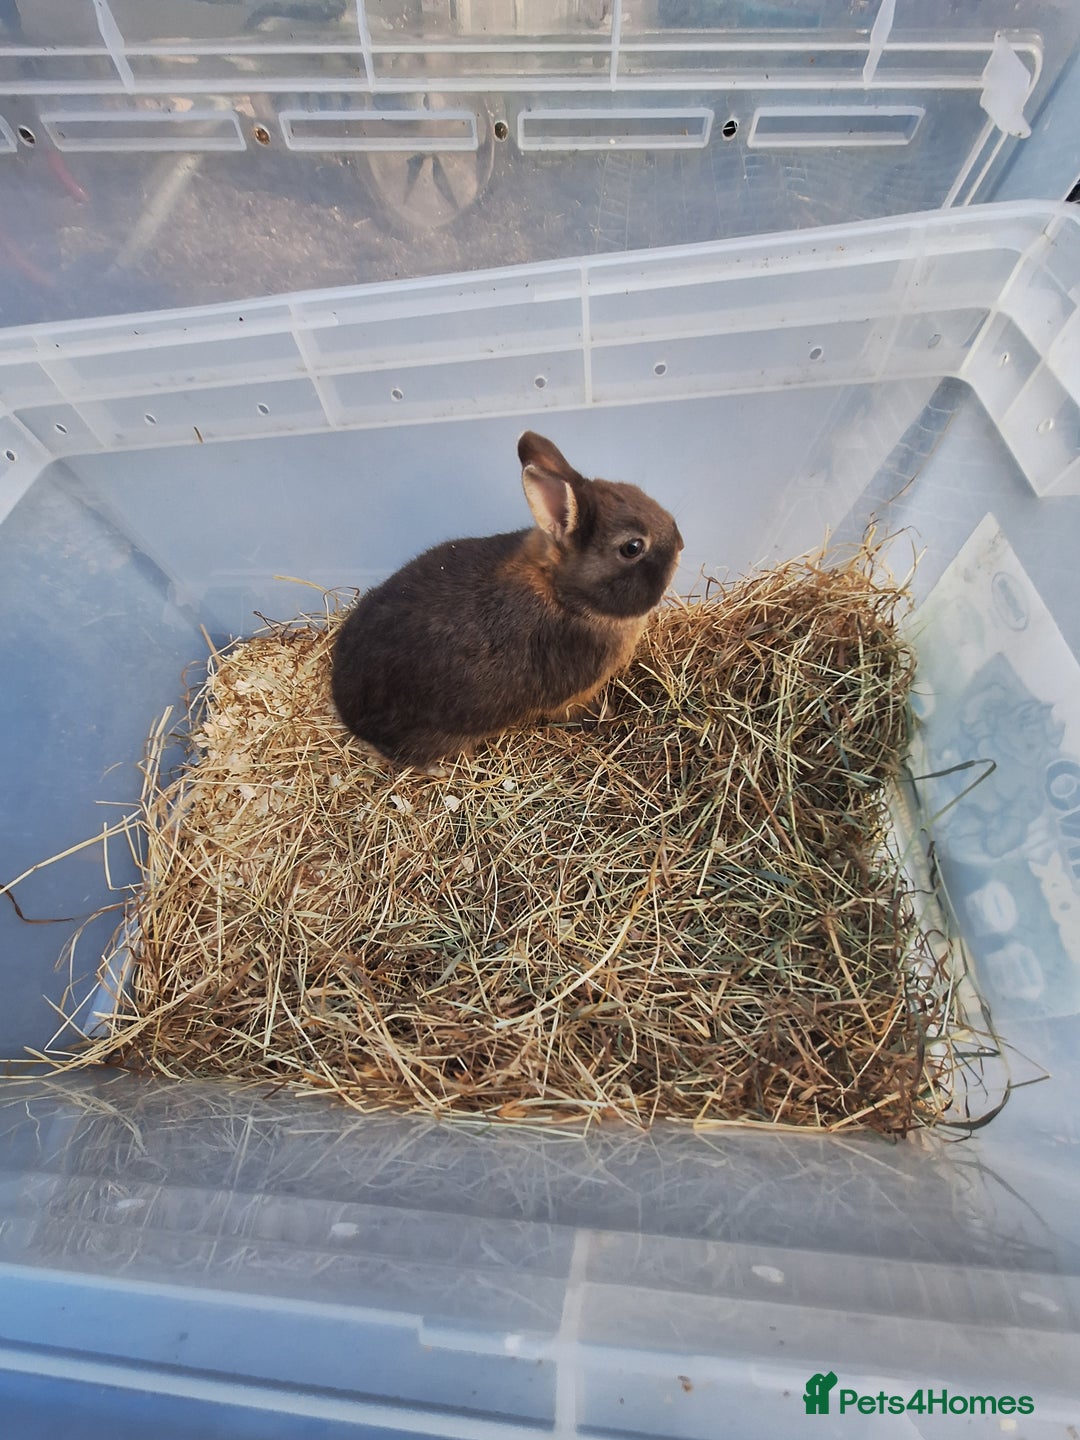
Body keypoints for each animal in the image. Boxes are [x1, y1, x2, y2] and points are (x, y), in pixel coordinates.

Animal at [331, 431, 684, 767]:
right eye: (632, 547)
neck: (563, 594)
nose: (681, 543)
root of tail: (346, 709)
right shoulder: (571, 695)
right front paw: (607, 715)